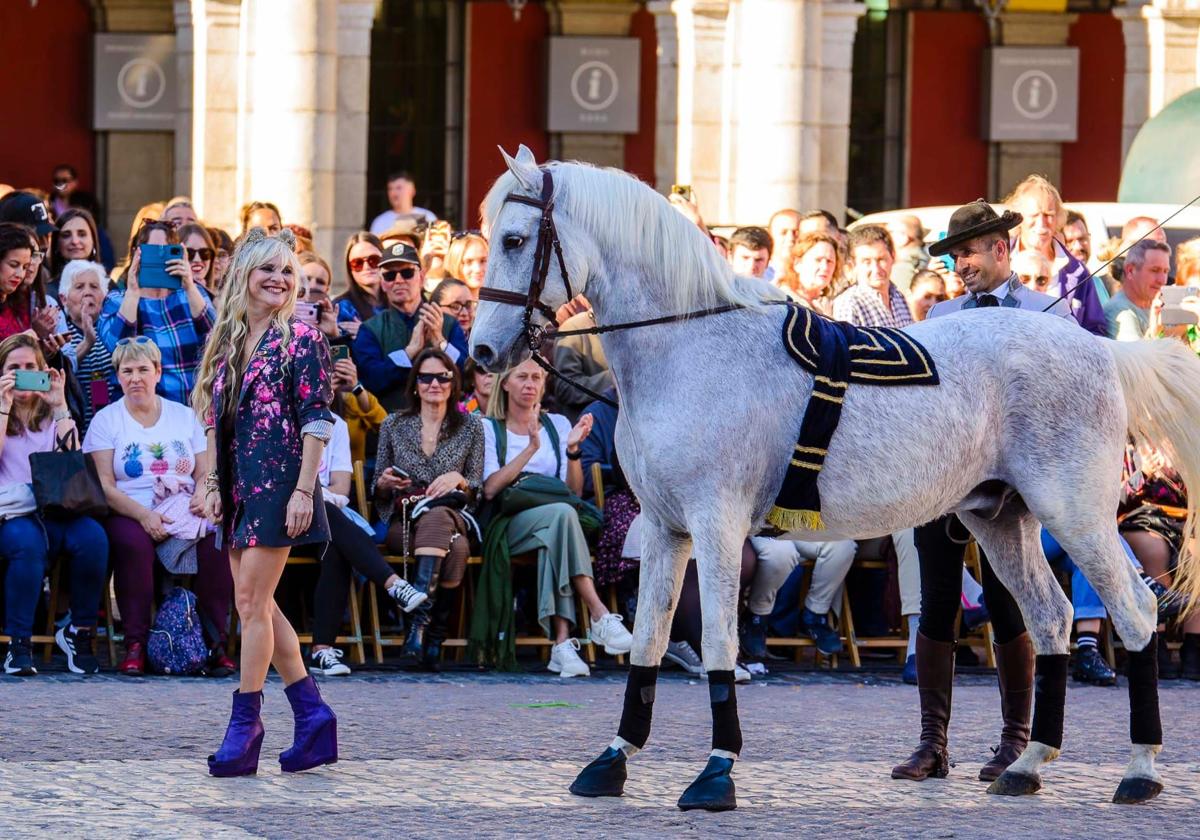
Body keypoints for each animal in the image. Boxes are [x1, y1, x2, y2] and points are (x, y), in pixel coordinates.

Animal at [465, 147, 1200, 811]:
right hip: (1002, 518)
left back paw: (1138, 771)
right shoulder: (664, 530)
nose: (481, 350)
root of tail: (1099, 349)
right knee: (1050, 622)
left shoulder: (715, 524)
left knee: (1133, 614)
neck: (688, 348)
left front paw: (716, 773)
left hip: (1073, 514)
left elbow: (720, 640)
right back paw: (1025, 765)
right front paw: (613, 760)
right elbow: (650, 637)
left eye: (515, 238)